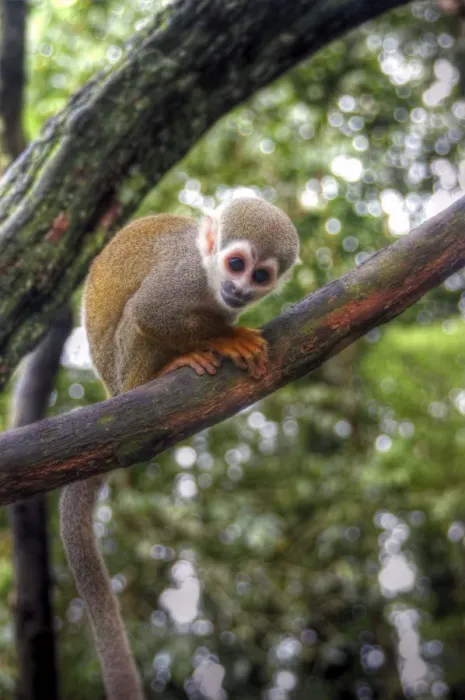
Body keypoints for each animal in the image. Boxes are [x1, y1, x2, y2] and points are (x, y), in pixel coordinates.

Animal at [60, 196, 300, 700]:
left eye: (261, 275)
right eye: (236, 264)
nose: (239, 290)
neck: (209, 278)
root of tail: (114, 390)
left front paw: (228, 330)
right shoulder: (182, 278)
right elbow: (150, 314)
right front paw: (226, 339)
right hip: (128, 368)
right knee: (138, 324)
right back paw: (174, 363)